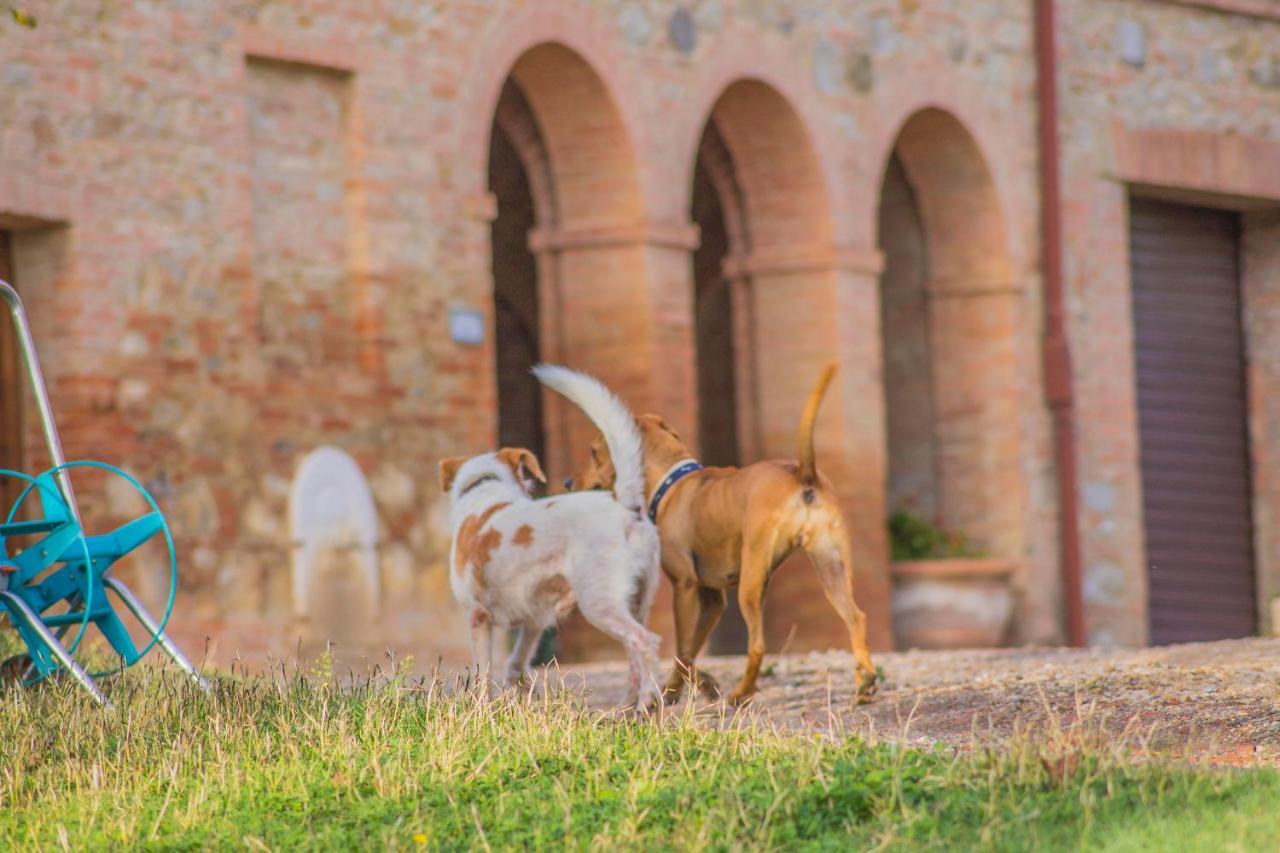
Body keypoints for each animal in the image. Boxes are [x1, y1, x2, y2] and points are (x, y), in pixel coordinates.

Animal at [440, 363, 660, 701]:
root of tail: (624, 506)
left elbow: (483, 676)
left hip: (599, 602)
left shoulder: (478, 616)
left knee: (645, 642)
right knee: (635, 656)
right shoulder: (535, 620)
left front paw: (480, 707)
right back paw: (630, 706)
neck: (486, 486)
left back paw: (648, 703)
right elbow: (515, 665)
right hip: (638, 602)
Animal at [570, 366, 880, 701]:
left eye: (593, 451)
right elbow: (689, 652)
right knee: (857, 618)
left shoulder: (685, 586)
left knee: (757, 646)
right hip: (831, 569)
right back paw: (865, 681)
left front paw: (684, 689)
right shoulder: (713, 600)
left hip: (752, 583)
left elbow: (682, 648)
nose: (568, 483)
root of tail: (802, 475)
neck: (672, 483)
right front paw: (689, 686)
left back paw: (741, 693)